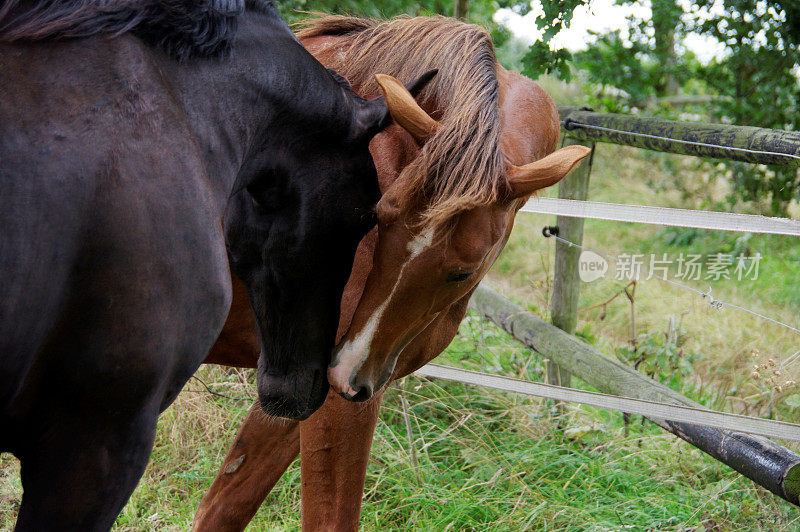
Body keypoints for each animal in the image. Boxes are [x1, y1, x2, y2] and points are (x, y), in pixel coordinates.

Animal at [194, 14, 588, 528]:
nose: (348, 370)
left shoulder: (300, 385)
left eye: (464, 271)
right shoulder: (336, 402)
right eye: (380, 218)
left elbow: (227, 502)